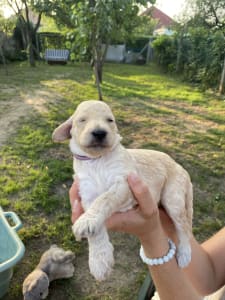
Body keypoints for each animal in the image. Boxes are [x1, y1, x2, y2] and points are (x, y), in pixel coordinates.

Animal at [52, 101, 193, 282]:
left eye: (110, 120)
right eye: (82, 120)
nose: (99, 132)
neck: (97, 160)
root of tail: (181, 167)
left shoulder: (124, 183)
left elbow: (105, 199)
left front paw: (86, 222)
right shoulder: (87, 193)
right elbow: (95, 231)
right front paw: (99, 262)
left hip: (173, 198)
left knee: (184, 227)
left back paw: (185, 254)